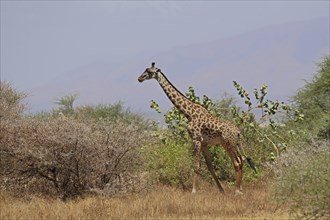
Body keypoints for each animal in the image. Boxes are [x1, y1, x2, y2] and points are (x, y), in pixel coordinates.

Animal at [138, 62, 256, 194]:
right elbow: (210, 166)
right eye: (145, 70)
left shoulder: (196, 139)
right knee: (241, 160)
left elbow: (196, 165)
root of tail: (238, 132)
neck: (188, 113)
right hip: (227, 144)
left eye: (149, 71)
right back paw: (240, 188)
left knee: (237, 162)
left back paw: (237, 191)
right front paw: (221, 190)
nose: (139, 78)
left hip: (229, 143)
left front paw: (193, 190)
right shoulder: (204, 143)